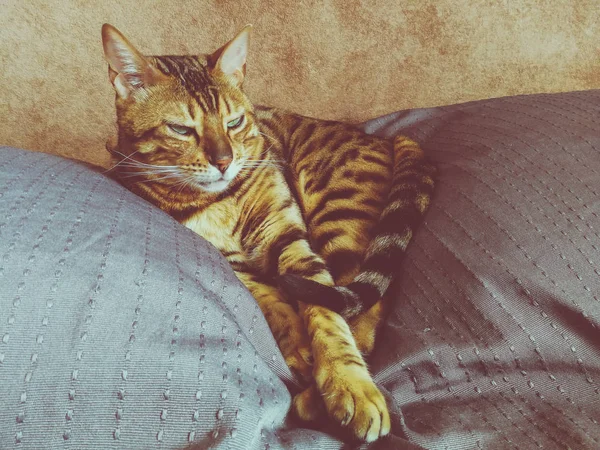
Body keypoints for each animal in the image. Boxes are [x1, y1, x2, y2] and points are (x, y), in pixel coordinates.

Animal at [101, 22, 434, 442]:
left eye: (234, 122)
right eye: (180, 129)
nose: (224, 161)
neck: (222, 200)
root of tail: (389, 138)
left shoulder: (288, 237)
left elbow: (328, 319)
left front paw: (349, 385)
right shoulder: (235, 266)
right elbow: (274, 304)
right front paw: (298, 348)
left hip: (337, 214)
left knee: (363, 304)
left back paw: (316, 397)